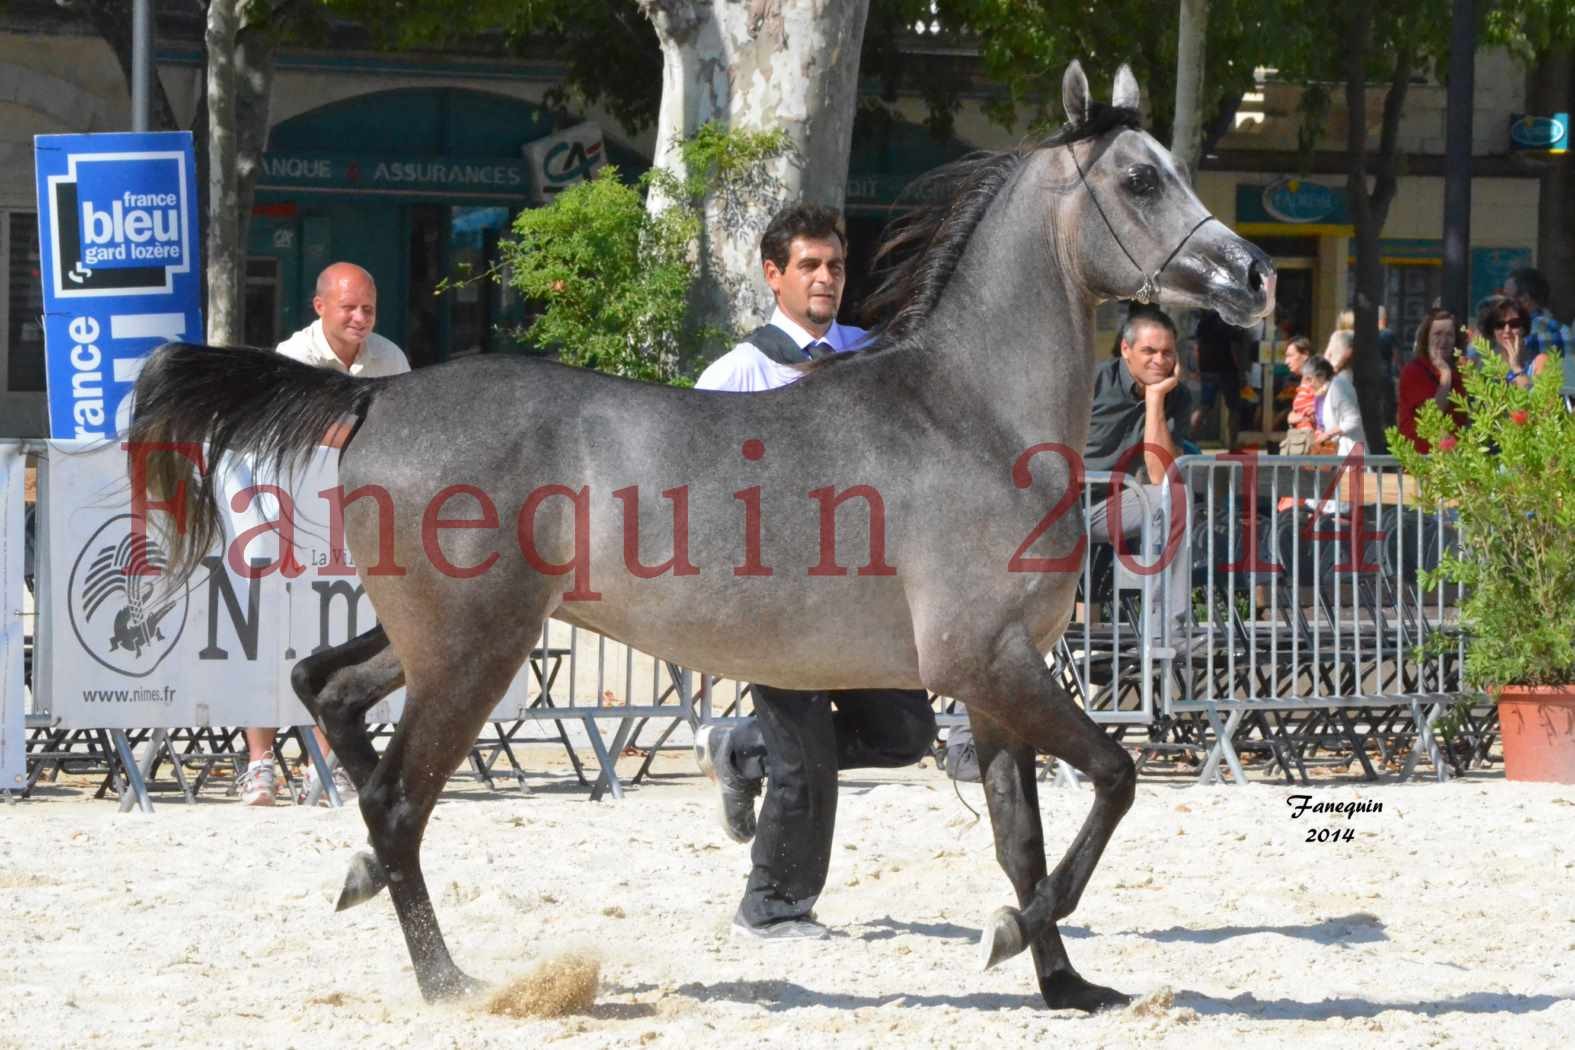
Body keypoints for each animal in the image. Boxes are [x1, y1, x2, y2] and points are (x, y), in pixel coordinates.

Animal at [129, 63, 1272, 1007]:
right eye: (1140, 179)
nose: (1253, 277)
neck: (968, 411)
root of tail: (374, 396)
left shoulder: (996, 683)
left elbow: (1023, 839)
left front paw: (1068, 986)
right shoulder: (983, 663)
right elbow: (1113, 781)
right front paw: (1001, 940)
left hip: (448, 638)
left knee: (325, 691)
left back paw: (365, 874)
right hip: (474, 653)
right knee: (399, 798)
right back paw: (451, 982)